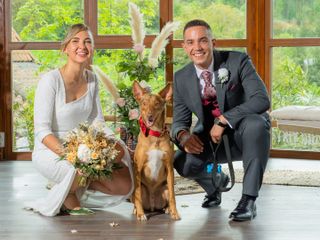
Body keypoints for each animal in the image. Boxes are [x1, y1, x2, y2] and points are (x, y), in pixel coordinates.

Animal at [131, 80, 180, 221]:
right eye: (144, 103)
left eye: (157, 104)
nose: (149, 116)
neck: (155, 135)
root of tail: (152, 206)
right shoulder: (138, 168)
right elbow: (138, 195)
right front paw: (140, 214)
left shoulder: (169, 167)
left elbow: (173, 195)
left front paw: (175, 212)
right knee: (136, 198)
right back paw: (136, 210)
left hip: (164, 188)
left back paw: (168, 209)